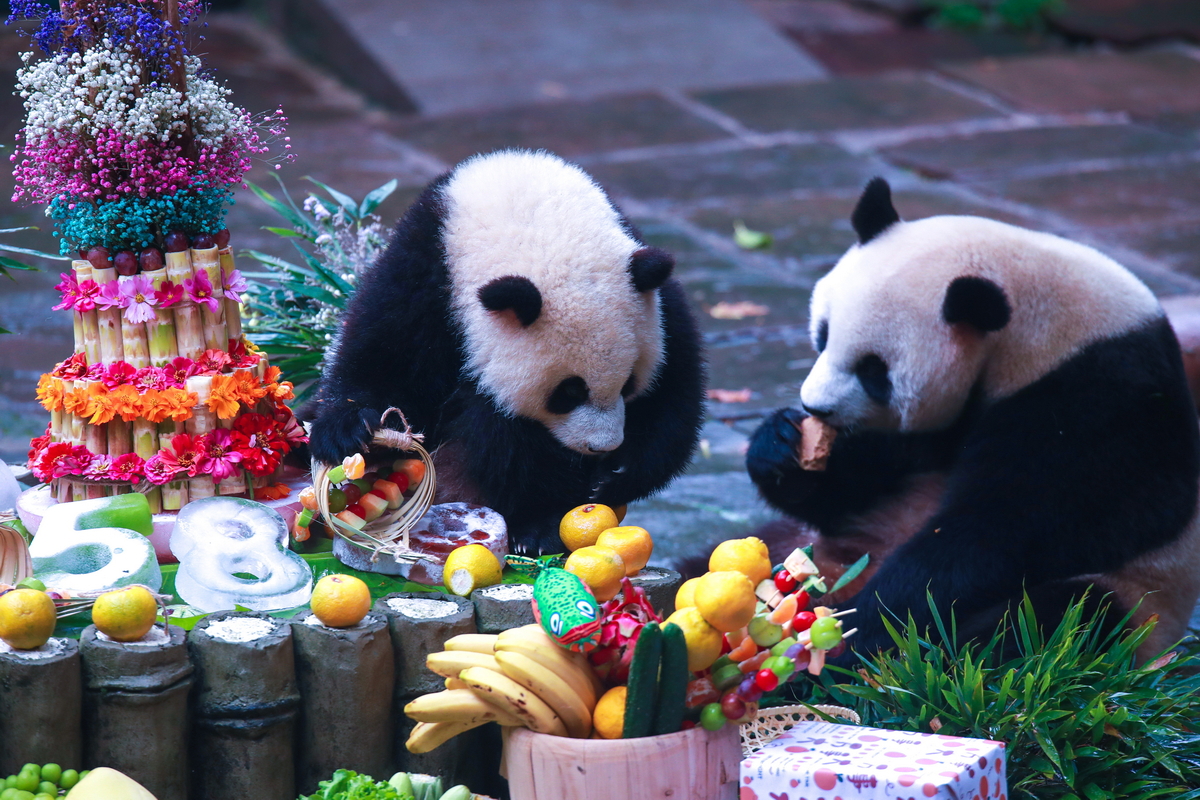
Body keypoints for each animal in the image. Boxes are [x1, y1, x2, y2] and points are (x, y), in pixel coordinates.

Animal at [304, 146, 705, 554]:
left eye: (628, 384)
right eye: (568, 393)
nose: (601, 447)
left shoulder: (661, 305)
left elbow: (674, 396)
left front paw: (616, 475)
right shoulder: (427, 270)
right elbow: (385, 358)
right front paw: (351, 431)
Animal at [748, 178, 1200, 662]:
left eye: (874, 371)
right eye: (823, 333)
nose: (815, 407)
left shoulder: (1096, 403)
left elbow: (1000, 535)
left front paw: (865, 627)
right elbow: (861, 482)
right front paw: (779, 446)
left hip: (1138, 603)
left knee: (1051, 622)